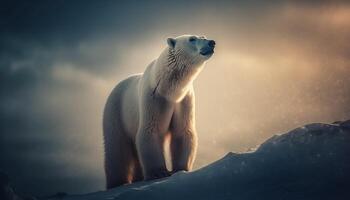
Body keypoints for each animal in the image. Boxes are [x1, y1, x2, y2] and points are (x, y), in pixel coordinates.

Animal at [102, 34, 215, 189]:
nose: (212, 42)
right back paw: (117, 182)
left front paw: (180, 169)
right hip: (116, 113)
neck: (169, 88)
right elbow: (151, 129)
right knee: (116, 149)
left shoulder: (184, 100)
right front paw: (159, 173)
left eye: (203, 36)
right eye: (192, 38)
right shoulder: (154, 98)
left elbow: (183, 131)